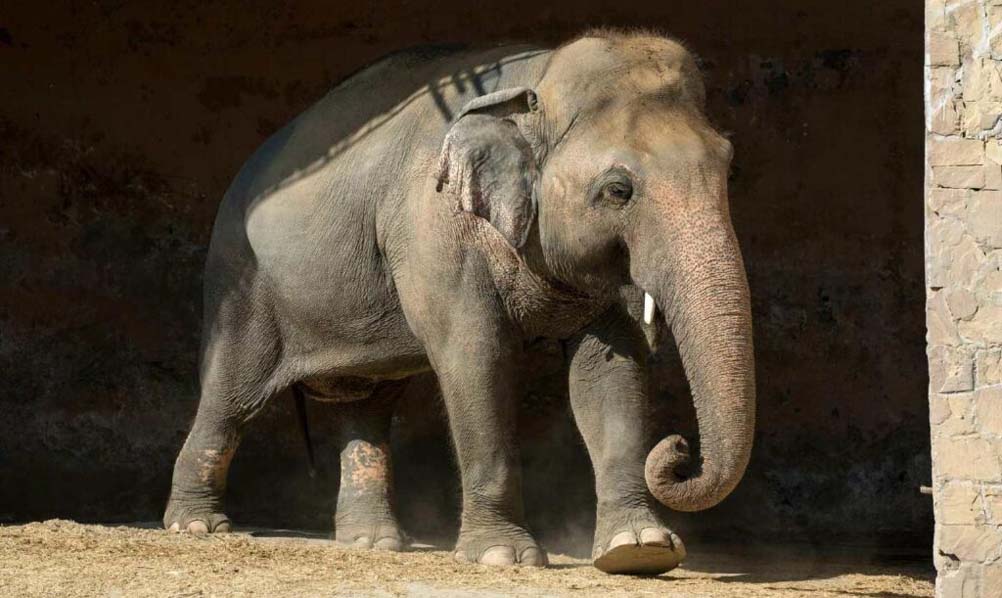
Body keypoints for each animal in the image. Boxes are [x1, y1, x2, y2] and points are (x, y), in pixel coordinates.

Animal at [163, 28, 755, 576]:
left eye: (729, 169)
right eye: (618, 190)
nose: (679, 450)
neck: (536, 81)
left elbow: (609, 373)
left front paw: (639, 551)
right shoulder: (437, 230)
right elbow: (477, 361)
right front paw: (503, 557)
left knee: (367, 404)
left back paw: (374, 543)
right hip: (241, 279)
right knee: (232, 395)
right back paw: (197, 526)